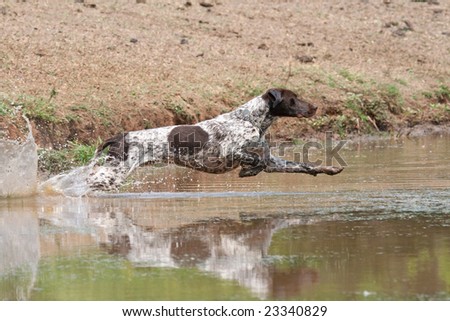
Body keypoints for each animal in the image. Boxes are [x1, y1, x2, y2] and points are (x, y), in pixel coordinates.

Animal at [86, 87, 342, 190]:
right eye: (293, 99)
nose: (316, 107)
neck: (251, 120)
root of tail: (121, 135)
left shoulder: (273, 162)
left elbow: (304, 165)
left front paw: (329, 169)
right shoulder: (231, 153)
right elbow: (255, 161)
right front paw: (247, 171)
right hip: (114, 173)